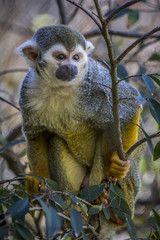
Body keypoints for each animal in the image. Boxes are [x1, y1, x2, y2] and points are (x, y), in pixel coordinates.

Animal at [16, 24, 143, 238]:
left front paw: (118, 164)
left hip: (130, 194)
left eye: (76, 57)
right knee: (56, 141)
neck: (59, 87)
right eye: (61, 57)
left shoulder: (95, 84)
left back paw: (107, 203)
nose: (71, 67)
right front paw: (38, 176)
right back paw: (75, 210)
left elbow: (130, 102)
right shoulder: (28, 90)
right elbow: (36, 134)